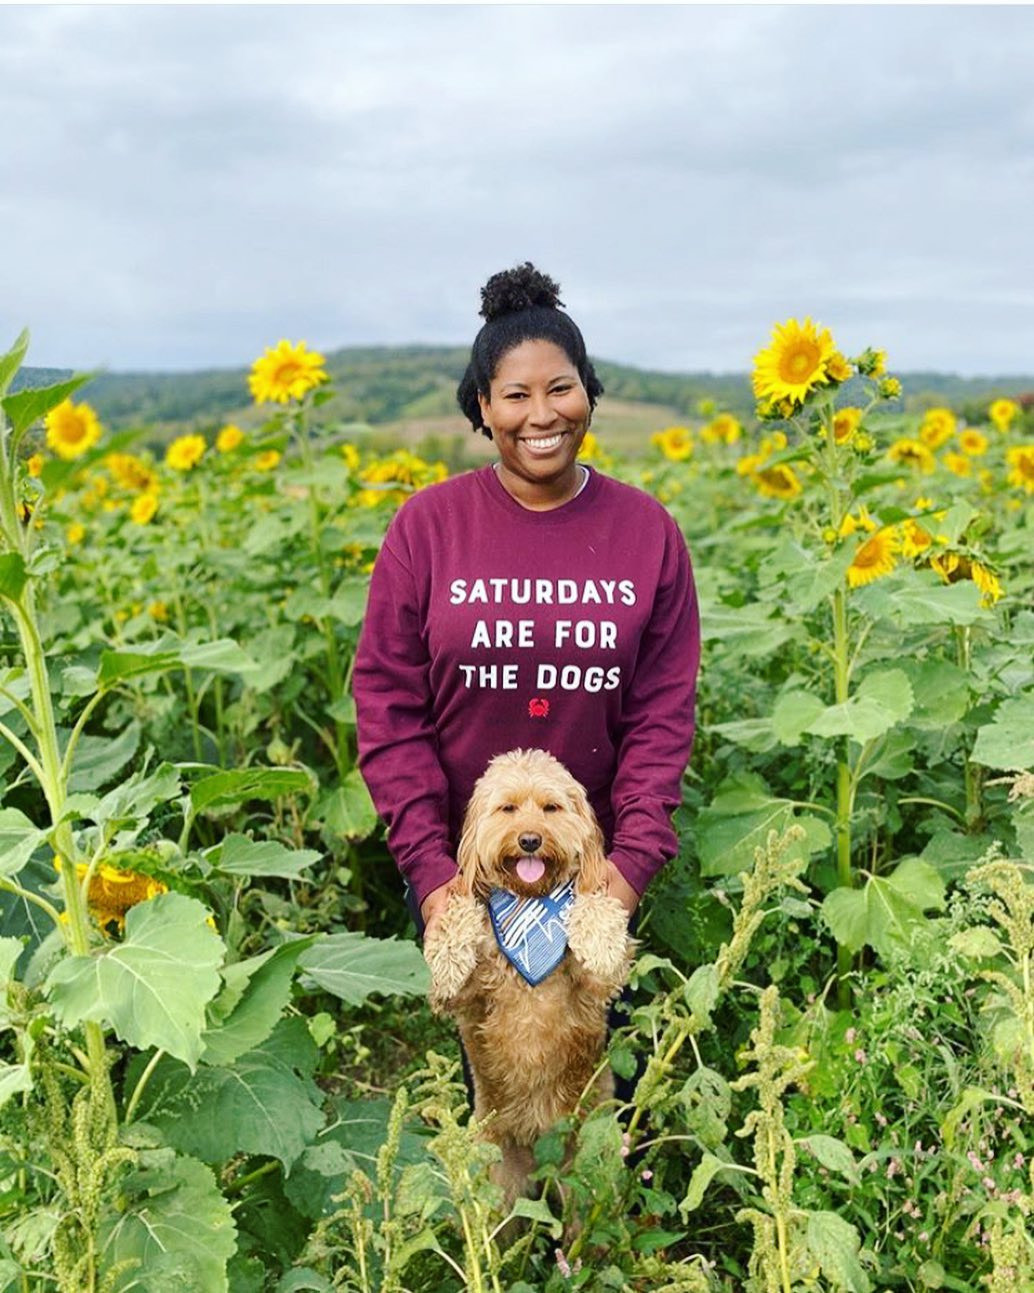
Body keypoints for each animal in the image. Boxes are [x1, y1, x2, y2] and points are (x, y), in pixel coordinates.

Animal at [421, 749, 633, 1199]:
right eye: (508, 808)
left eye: (551, 808)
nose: (530, 840)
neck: (531, 901)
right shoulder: (465, 1001)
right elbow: (459, 908)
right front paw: (448, 953)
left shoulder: (598, 987)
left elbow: (593, 903)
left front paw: (599, 937)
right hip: (498, 1178)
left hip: (585, 1175)